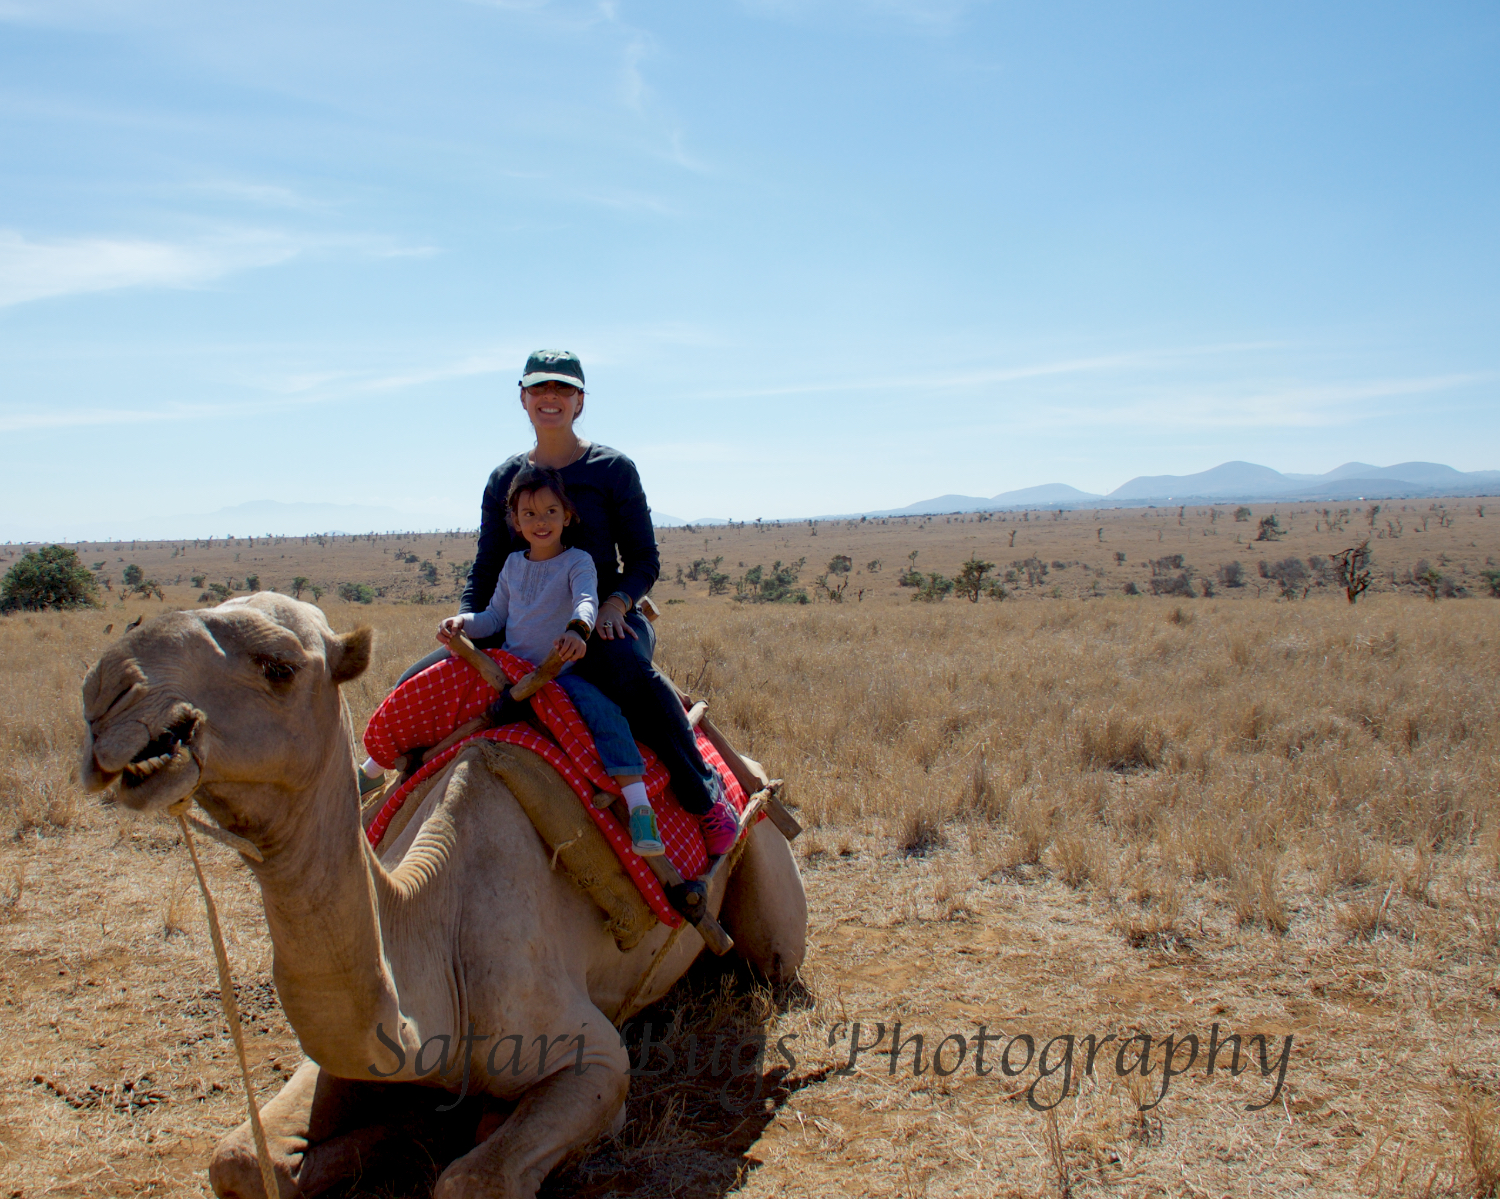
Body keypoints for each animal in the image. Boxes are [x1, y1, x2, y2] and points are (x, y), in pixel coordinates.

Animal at [82, 594, 810, 1194]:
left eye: (278, 666)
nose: (105, 696)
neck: (436, 924)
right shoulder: (360, 1051)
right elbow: (239, 1161)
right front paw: (405, 1129)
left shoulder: (596, 1059)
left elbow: (473, 1178)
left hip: (769, 897)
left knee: (771, 959)